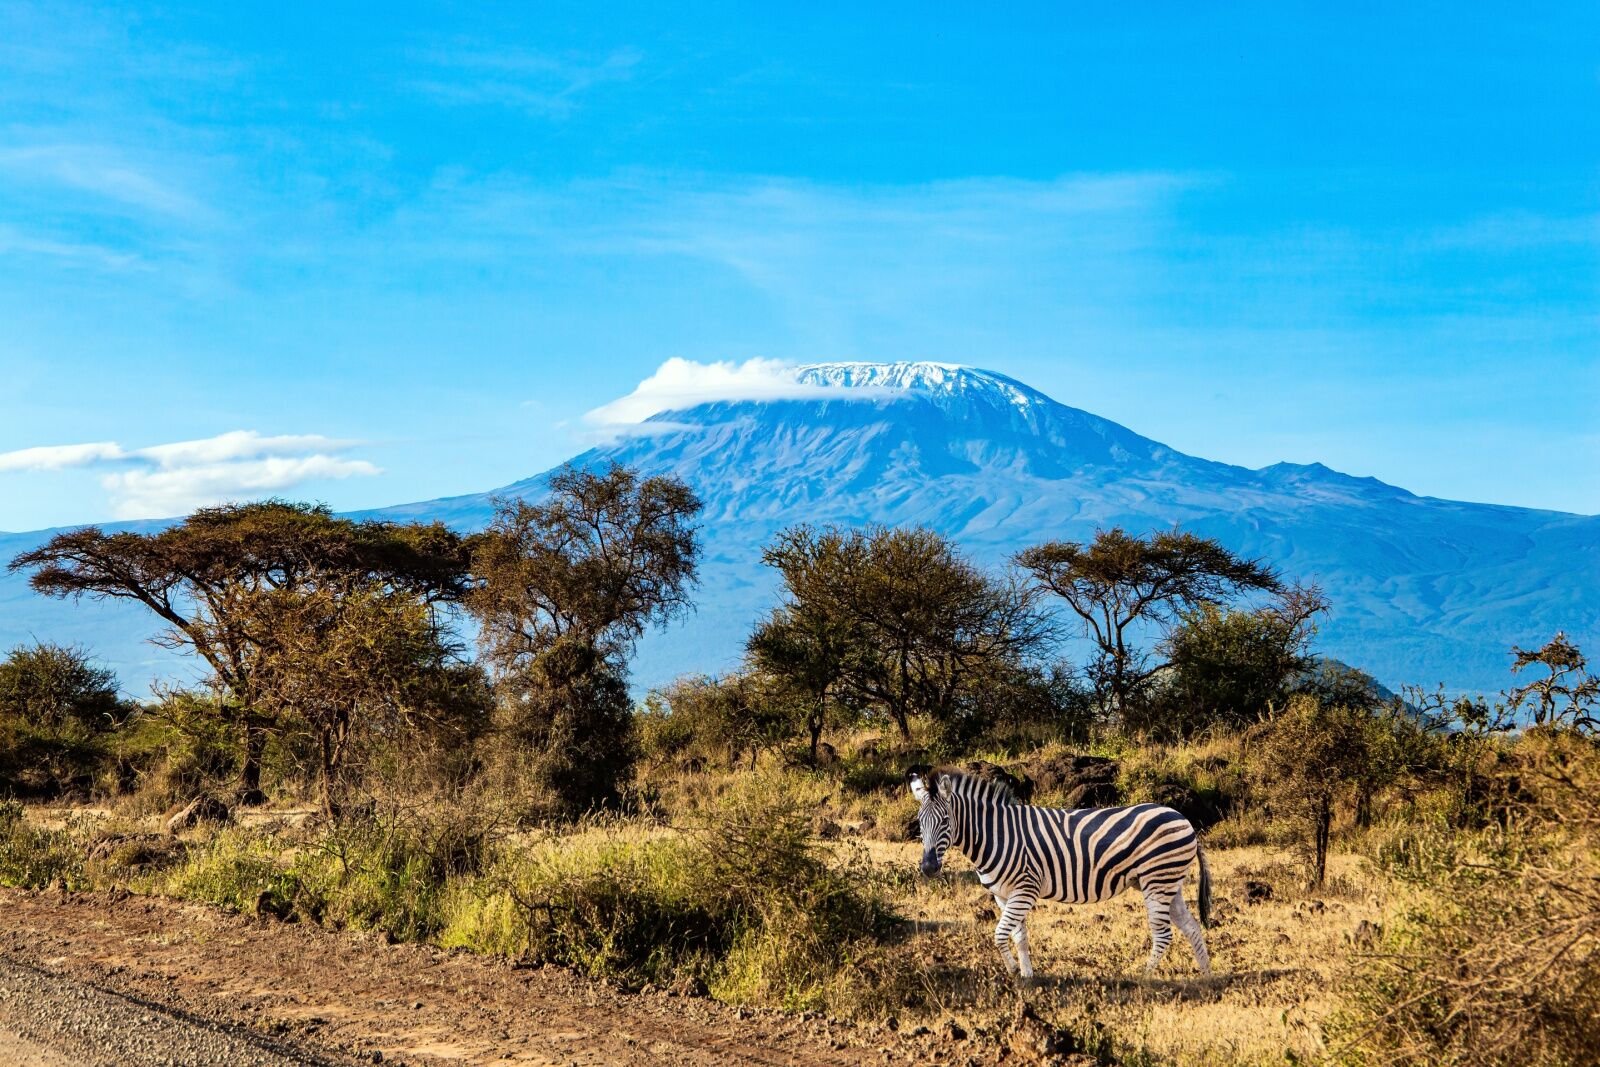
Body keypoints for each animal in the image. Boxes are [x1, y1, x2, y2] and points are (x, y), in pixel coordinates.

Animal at [909, 766, 1212, 979]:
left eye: (945, 821)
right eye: (920, 822)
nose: (929, 867)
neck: (997, 835)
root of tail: (1183, 818)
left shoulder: (1025, 889)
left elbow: (999, 934)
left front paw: (1013, 971)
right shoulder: (1003, 895)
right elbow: (1018, 936)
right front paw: (1026, 975)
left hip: (1157, 880)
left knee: (1163, 934)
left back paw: (1145, 978)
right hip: (1169, 882)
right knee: (1191, 926)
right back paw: (1206, 975)